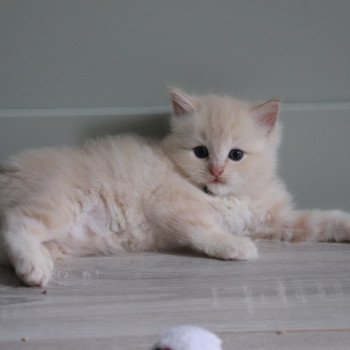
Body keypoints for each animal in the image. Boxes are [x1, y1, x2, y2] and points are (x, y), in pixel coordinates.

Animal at [0, 88, 348, 288]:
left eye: (236, 155)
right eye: (201, 152)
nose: (217, 171)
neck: (224, 197)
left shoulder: (271, 219)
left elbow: (318, 221)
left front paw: (344, 226)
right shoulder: (171, 204)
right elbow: (206, 229)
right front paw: (236, 246)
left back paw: (35, 264)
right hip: (59, 202)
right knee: (17, 224)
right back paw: (34, 270)